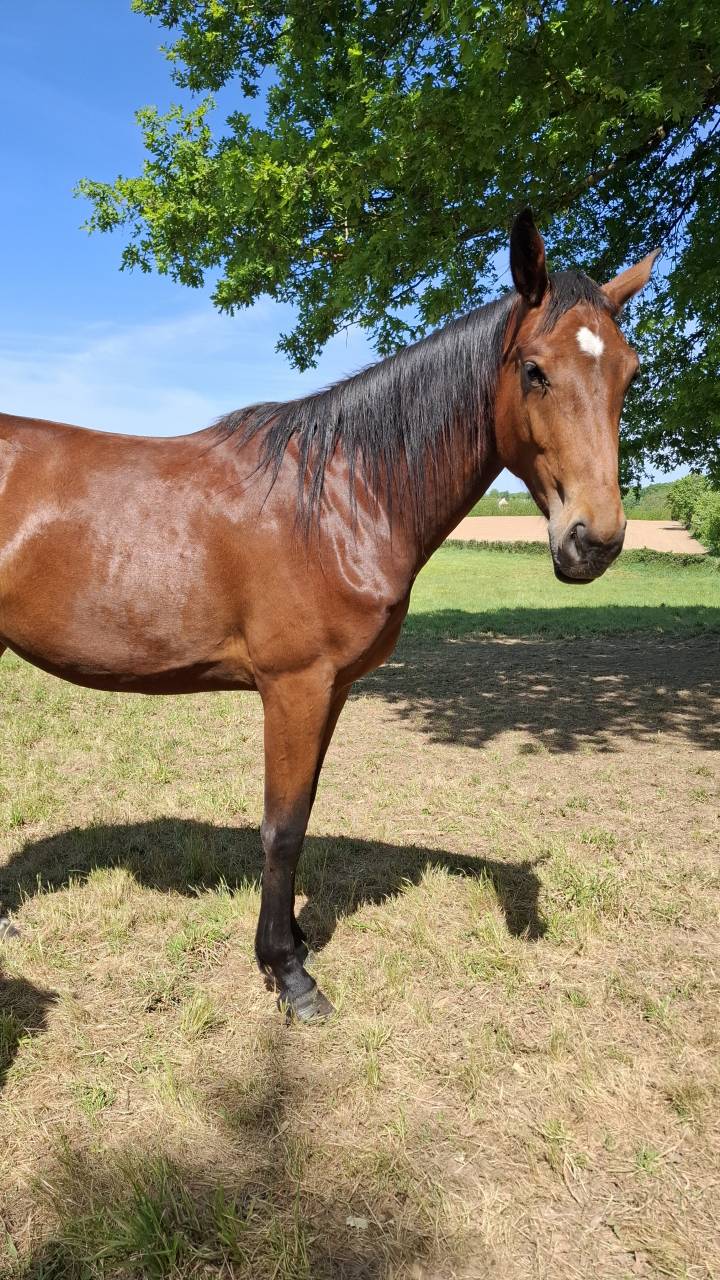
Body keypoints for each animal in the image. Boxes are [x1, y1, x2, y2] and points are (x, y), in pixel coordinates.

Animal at [0, 210, 656, 1020]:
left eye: (629, 371)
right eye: (534, 369)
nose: (593, 541)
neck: (344, 499)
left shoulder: (332, 690)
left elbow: (305, 815)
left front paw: (296, 944)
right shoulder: (295, 687)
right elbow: (281, 830)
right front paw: (289, 975)